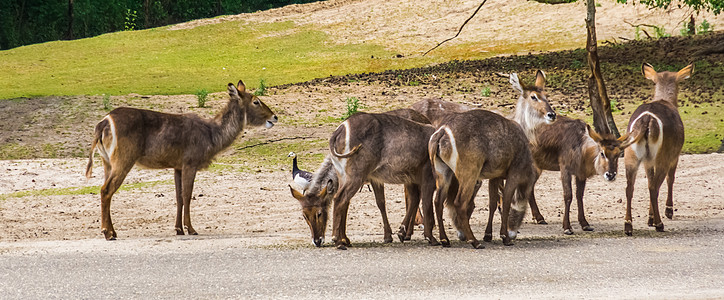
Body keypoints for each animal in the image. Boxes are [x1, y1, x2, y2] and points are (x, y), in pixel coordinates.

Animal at [84, 81, 278, 240]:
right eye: (256, 101)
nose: (274, 117)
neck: (211, 135)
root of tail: (102, 124)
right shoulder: (190, 162)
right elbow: (187, 195)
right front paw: (191, 229)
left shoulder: (177, 166)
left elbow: (178, 197)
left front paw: (178, 229)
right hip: (123, 159)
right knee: (106, 189)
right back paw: (108, 233)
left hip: (106, 161)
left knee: (105, 189)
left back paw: (113, 231)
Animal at [292, 112, 438, 248]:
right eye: (304, 216)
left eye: (319, 213)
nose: (317, 241)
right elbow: (359, 204)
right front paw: (346, 239)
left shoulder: (373, 179)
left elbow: (378, 203)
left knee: (413, 198)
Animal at [428, 109, 536, 248]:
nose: (513, 233)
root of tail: (442, 131)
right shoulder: (514, 173)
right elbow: (506, 202)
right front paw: (505, 238)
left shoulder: (495, 177)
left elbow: (493, 203)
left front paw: (488, 235)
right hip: (469, 173)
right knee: (459, 202)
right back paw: (475, 242)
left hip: (443, 173)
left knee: (438, 201)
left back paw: (445, 240)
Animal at [620, 63, 692, 236]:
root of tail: (647, 120)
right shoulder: (675, 154)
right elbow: (670, 179)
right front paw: (667, 211)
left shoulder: (647, 161)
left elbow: (648, 180)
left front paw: (649, 218)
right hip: (663, 155)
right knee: (655, 186)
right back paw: (660, 224)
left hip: (631, 155)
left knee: (630, 187)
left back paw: (628, 225)